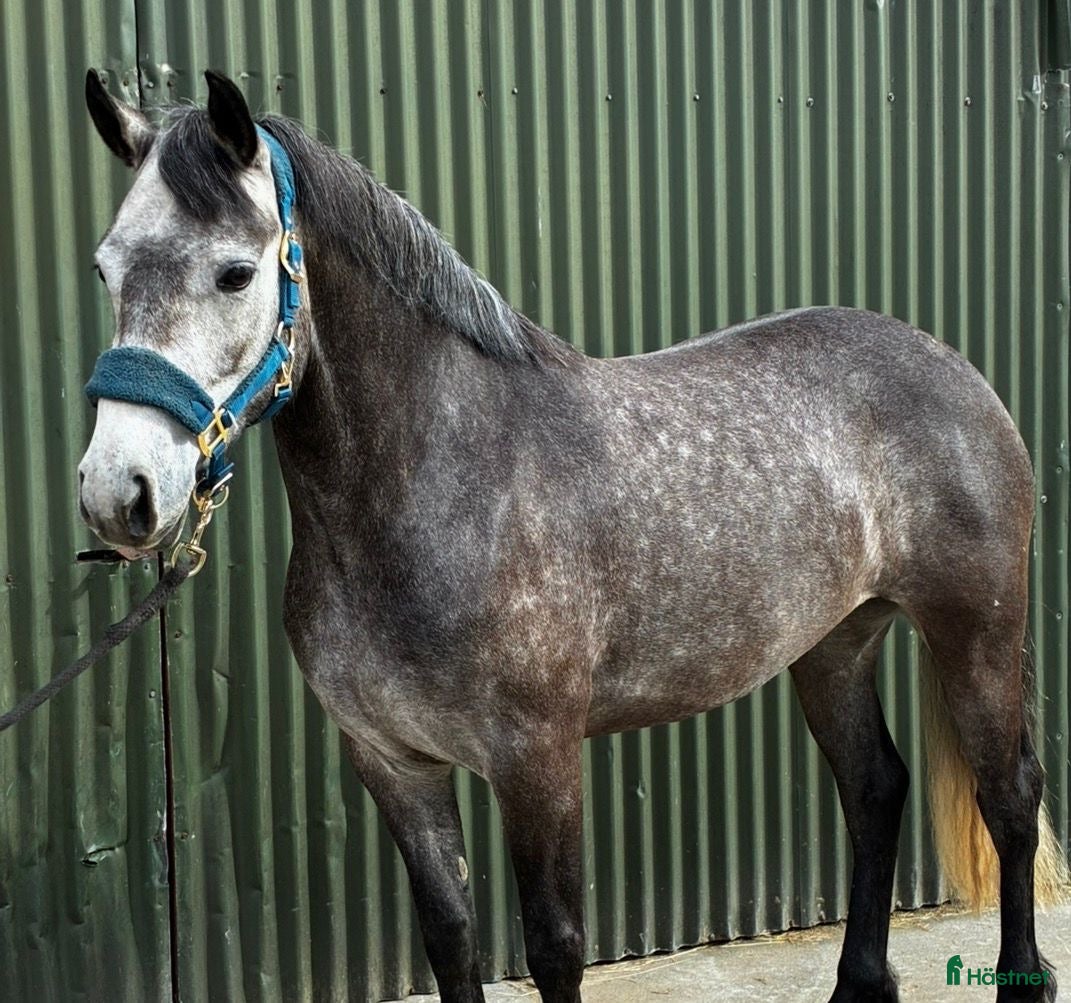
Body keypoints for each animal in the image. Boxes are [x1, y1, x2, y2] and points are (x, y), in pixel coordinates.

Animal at [78, 69, 1066, 1003]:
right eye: (104, 269)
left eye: (234, 274)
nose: (116, 493)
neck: (444, 481)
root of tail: (950, 367)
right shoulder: (393, 762)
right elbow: (450, 937)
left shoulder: (536, 759)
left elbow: (554, 947)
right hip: (832, 643)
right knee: (873, 789)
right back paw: (858, 981)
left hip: (975, 628)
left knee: (1009, 797)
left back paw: (1022, 971)